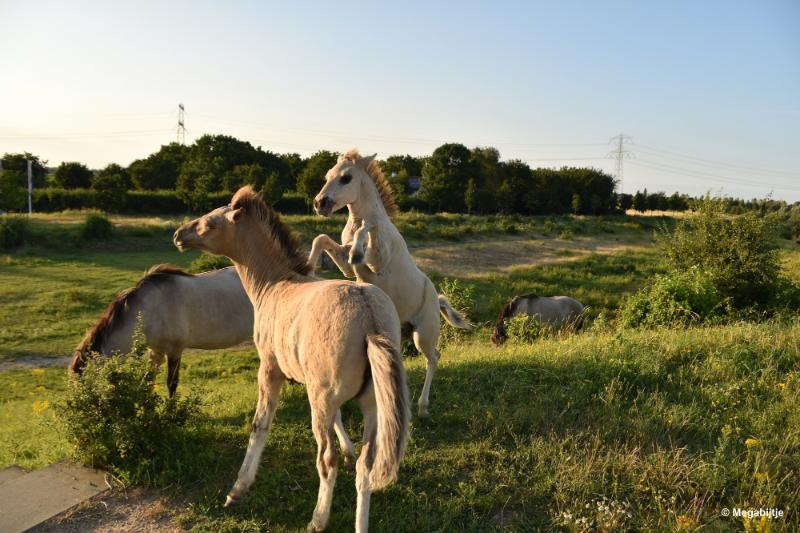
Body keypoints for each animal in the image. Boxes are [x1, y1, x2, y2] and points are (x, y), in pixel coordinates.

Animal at [173, 185, 410, 528]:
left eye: (209, 223)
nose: (179, 235)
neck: (276, 284)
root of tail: (369, 318)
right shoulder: (319, 387)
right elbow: (341, 421)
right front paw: (349, 451)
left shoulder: (271, 371)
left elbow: (260, 425)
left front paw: (236, 491)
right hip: (372, 404)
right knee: (366, 467)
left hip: (324, 400)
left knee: (326, 459)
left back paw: (317, 520)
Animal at [308, 148, 472, 418]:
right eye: (327, 175)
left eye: (346, 177)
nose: (320, 204)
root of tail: (437, 300)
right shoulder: (347, 266)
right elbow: (321, 239)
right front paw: (309, 266)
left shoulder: (378, 264)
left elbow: (366, 230)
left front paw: (358, 249)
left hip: (423, 336)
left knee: (434, 358)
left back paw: (423, 408)